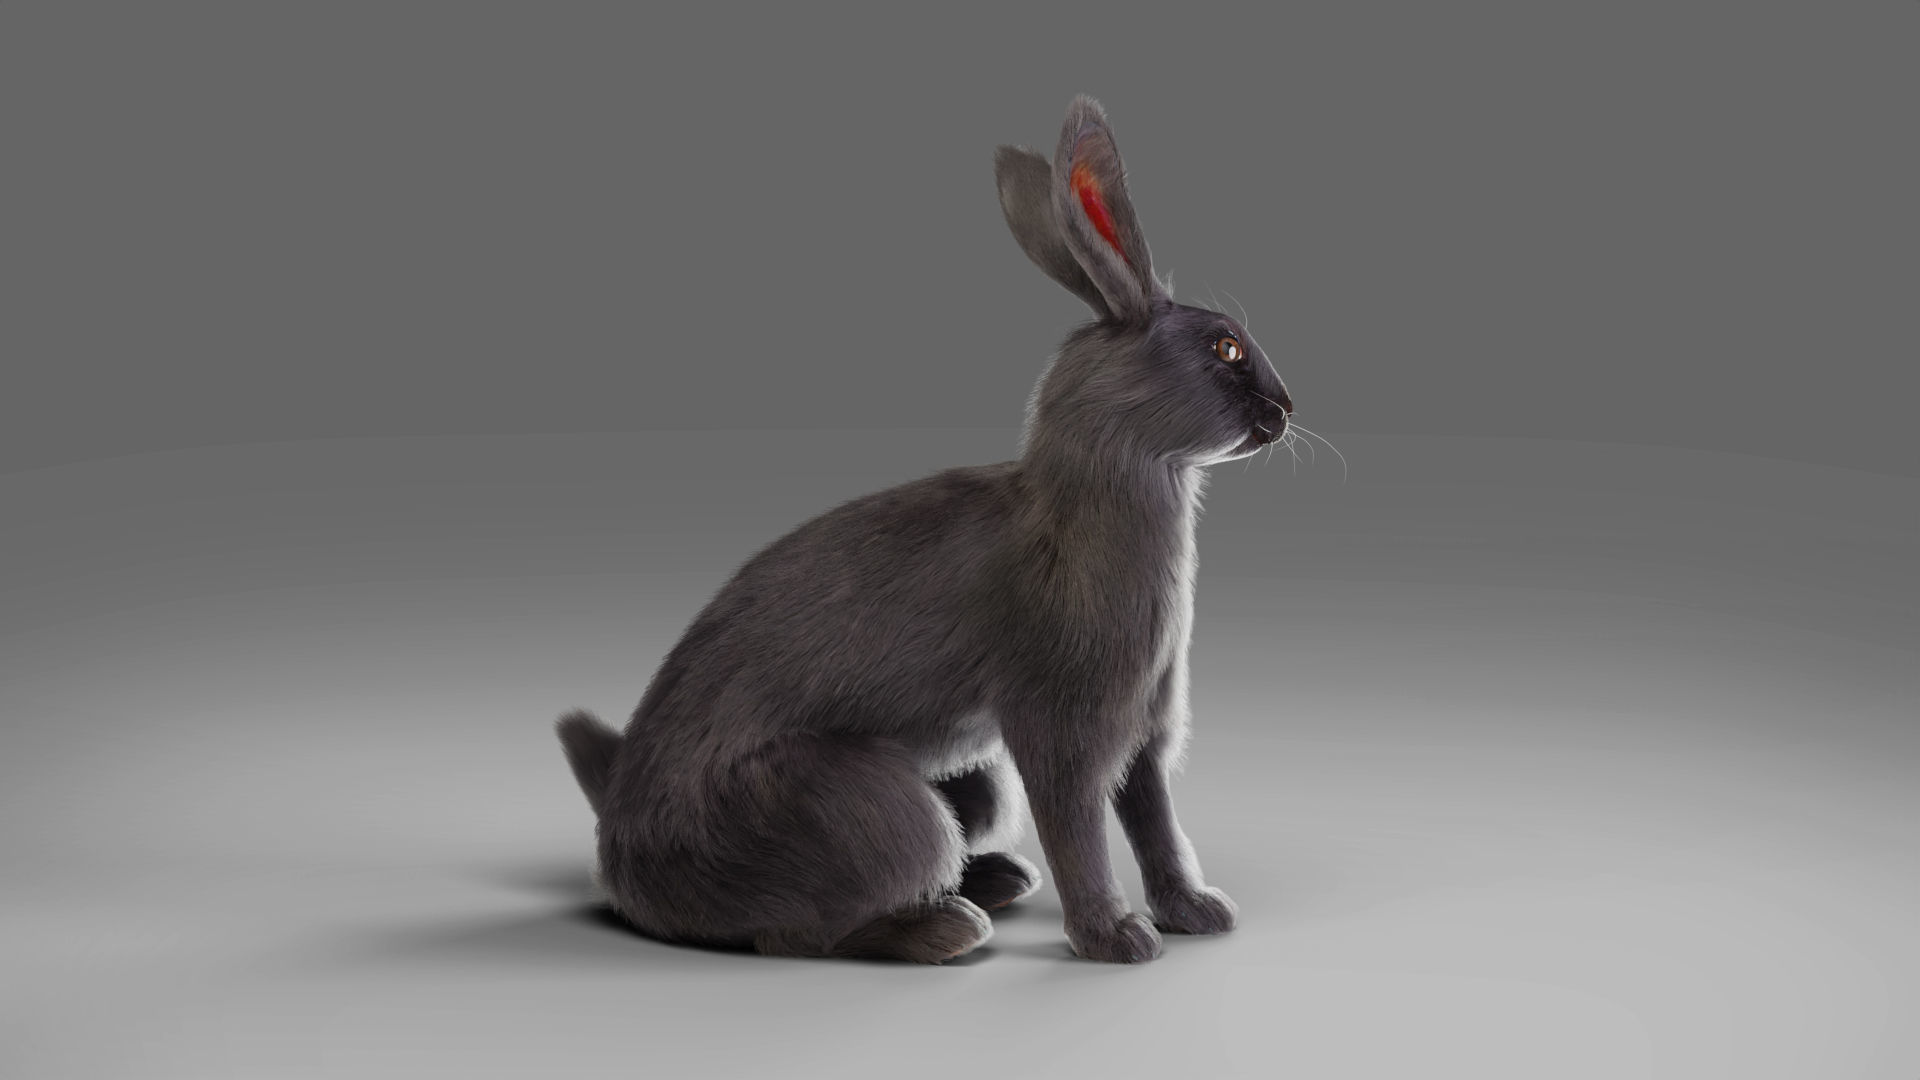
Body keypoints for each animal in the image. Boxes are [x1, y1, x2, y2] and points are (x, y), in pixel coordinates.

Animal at [556, 94, 1292, 964]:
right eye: (1227, 347)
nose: (1287, 411)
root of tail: (619, 846)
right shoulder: (1062, 724)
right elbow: (1079, 828)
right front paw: (1116, 938)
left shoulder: (1143, 727)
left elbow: (1155, 823)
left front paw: (1194, 911)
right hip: (873, 809)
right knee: (804, 926)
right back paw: (951, 924)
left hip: (972, 782)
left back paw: (996, 879)